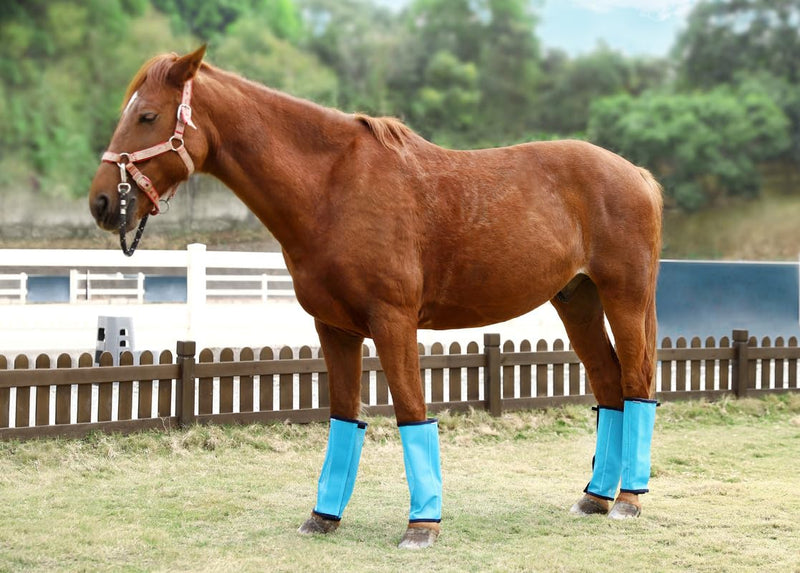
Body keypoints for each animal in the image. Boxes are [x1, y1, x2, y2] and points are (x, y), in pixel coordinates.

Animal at [89, 47, 663, 549]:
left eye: (147, 115)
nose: (100, 203)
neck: (332, 189)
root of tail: (636, 173)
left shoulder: (393, 322)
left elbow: (411, 413)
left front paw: (422, 527)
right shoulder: (334, 328)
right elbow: (345, 417)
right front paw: (323, 518)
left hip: (625, 298)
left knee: (636, 384)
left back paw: (629, 500)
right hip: (577, 301)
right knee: (610, 387)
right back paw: (595, 498)